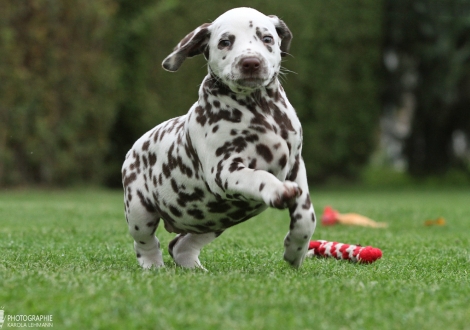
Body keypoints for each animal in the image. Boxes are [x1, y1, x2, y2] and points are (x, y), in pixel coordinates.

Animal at [123, 7, 318, 270]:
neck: (261, 109)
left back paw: (194, 269)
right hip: (139, 211)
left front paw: (296, 251)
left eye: (267, 38)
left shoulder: (296, 166)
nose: (250, 62)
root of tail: (135, 146)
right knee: (146, 243)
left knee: (180, 246)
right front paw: (276, 190)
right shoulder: (225, 169)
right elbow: (257, 176)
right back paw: (153, 266)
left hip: (212, 223)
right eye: (225, 42)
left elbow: (306, 216)